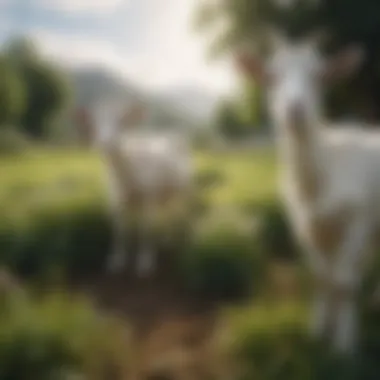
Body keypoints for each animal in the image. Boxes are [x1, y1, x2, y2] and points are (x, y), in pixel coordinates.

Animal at [75, 102, 193, 278]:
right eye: (94, 122)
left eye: (121, 121)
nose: (105, 143)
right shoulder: (115, 200)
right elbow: (119, 228)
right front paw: (116, 260)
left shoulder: (149, 197)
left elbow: (146, 227)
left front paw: (145, 262)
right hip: (165, 193)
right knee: (168, 211)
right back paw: (166, 238)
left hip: (184, 188)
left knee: (181, 211)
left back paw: (181, 238)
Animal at [235, 31, 380, 354]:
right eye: (272, 76)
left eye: (319, 76)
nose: (295, 109)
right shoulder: (305, 226)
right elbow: (322, 278)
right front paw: (318, 331)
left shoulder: (358, 220)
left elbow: (342, 282)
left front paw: (343, 344)